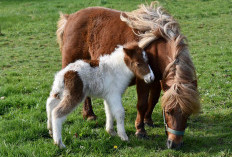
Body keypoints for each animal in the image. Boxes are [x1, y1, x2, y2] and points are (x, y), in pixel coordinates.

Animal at [56, 2, 201, 150]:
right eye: (168, 112)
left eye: (187, 114)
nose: (174, 144)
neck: (156, 48)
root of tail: (70, 17)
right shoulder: (143, 80)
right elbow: (142, 104)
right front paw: (140, 130)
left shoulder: (157, 80)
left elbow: (153, 100)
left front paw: (148, 120)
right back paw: (89, 114)